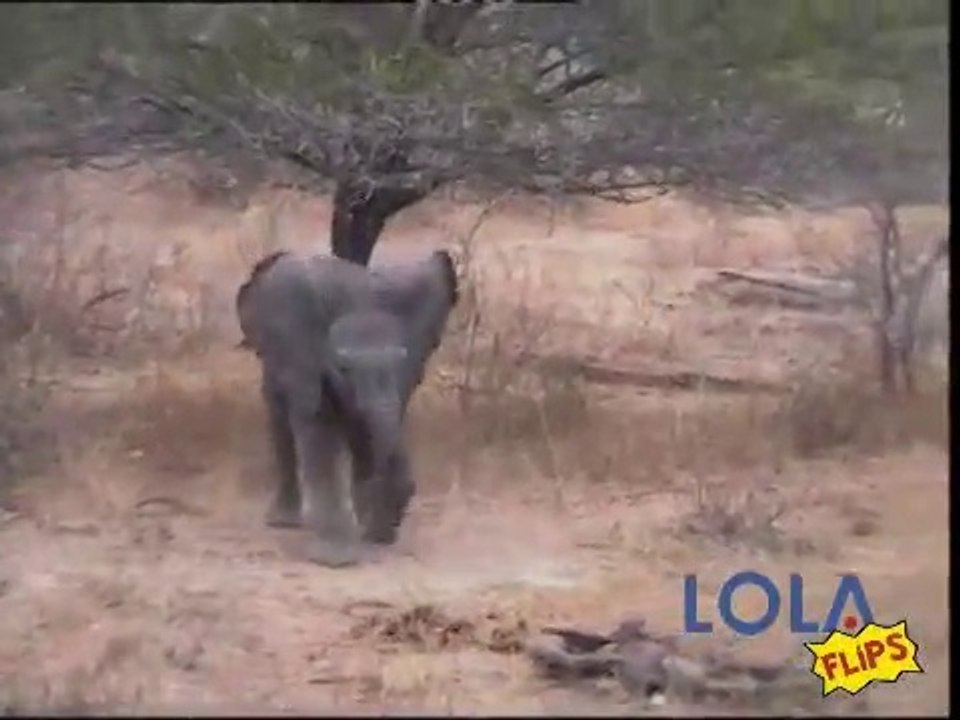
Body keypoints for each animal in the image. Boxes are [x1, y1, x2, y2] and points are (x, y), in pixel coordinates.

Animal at [235, 249, 459, 567]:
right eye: (344, 369)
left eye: (402, 362)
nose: (380, 534)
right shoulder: (300, 354)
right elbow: (319, 430)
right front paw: (336, 559)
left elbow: (374, 428)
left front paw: (371, 528)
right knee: (280, 420)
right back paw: (283, 522)